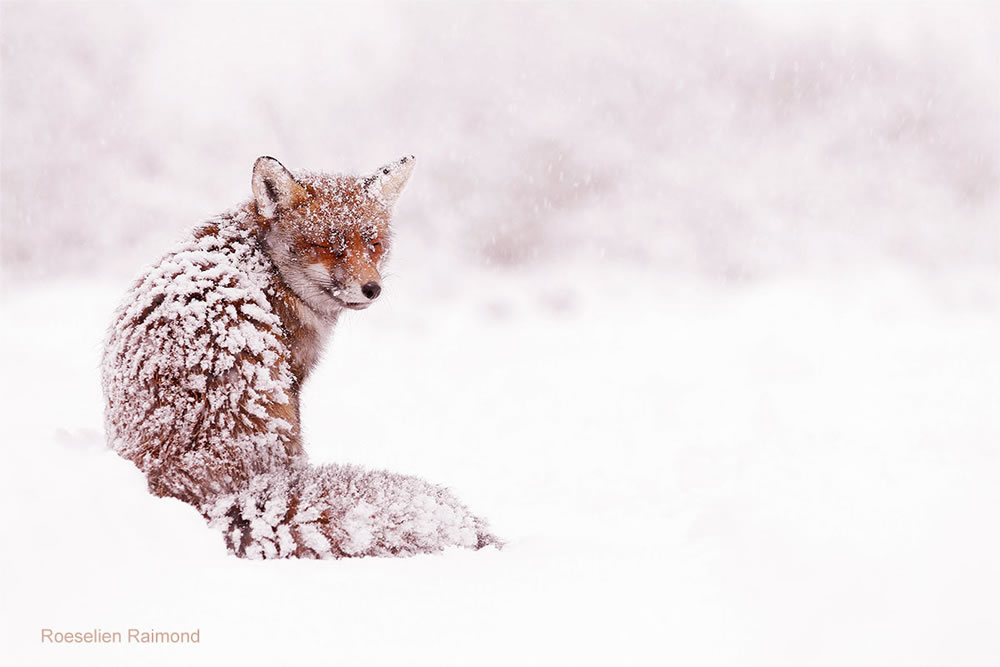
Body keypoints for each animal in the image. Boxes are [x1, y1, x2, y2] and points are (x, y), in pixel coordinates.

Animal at [101, 157, 500, 560]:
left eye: (373, 244)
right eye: (328, 246)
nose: (372, 288)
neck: (268, 265)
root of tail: (219, 495)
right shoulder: (294, 378)